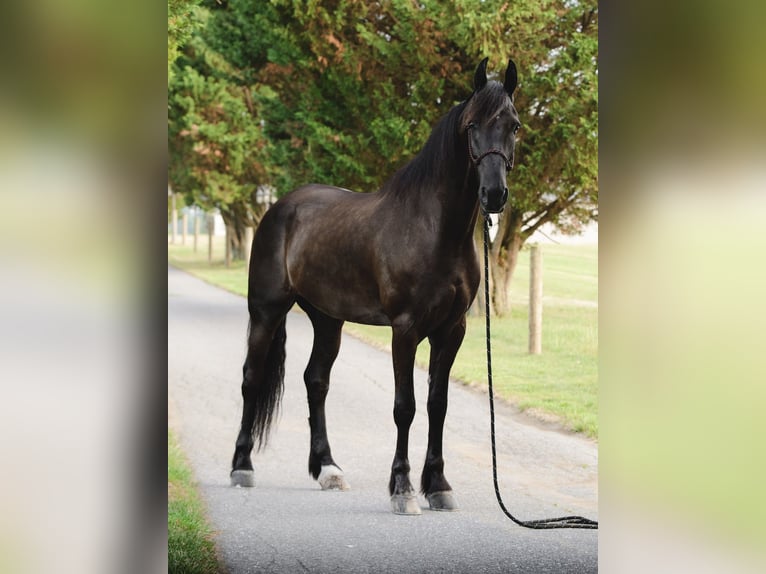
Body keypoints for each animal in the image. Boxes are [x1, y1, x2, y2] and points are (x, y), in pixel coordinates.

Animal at [230, 58, 521, 515]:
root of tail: (280, 206)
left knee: (316, 381)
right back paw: (242, 466)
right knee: (251, 378)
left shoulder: (451, 331)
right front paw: (402, 489)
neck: (436, 231)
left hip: (327, 320)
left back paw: (328, 469)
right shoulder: (406, 329)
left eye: (514, 125)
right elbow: (406, 407)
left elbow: (438, 405)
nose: (494, 194)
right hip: (266, 311)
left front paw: (438, 486)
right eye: (473, 125)